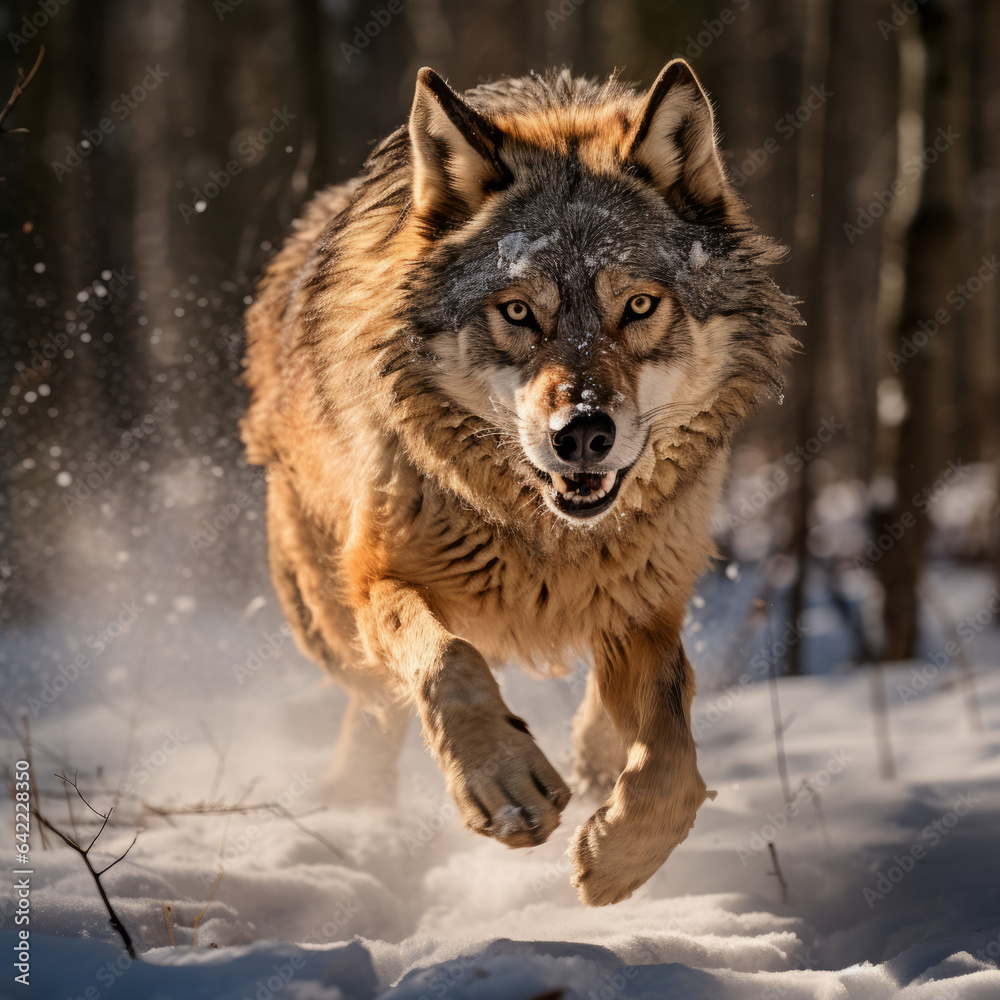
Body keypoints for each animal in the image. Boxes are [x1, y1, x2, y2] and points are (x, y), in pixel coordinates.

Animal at [242, 59, 800, 905]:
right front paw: (504, 782)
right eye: (517, 312)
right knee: (375, 701)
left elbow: (672, 750)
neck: (547, 535)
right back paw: (360, 808)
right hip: (329, 615)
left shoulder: (646, 599)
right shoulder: (379, 577)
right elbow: (449, 664)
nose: (583, 433)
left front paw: (618, 858)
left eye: (639, 305)